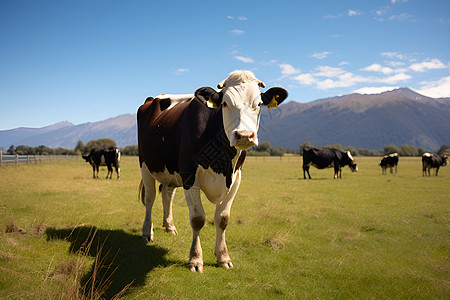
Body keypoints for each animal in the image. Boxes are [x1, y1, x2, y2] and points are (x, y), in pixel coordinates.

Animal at [136, 70, 288, 272]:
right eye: (224, 103)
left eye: (259, 104)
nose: (244, 136)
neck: (222, 161)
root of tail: (154, 98)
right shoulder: (189, 175)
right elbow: (197, 219)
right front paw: (195, 259)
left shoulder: (236, 178)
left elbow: (223, 219)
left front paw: (223, 257)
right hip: (145, 164)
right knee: (150, 199)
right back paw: (147, 232)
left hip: (171, 170)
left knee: (167, 194)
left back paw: (169, 226)